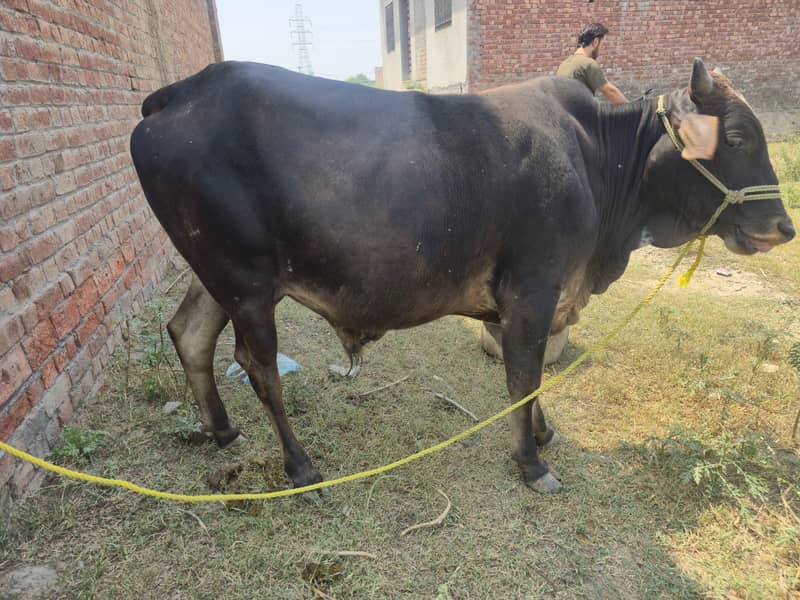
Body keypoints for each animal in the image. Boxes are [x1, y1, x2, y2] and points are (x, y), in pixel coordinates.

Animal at [130, 59, 794, 495]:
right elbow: (524, 377)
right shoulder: (532, 292)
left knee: (190, 334)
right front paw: (531, 464)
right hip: (245, 282)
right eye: (737, 136)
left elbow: (531, 380)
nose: (784, 227)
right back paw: (301, 468)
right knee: (257, 364)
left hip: (218, 276)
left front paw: (543, 436)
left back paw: (222, 430)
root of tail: (177, 94)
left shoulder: (535, 303)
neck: (599, 163)